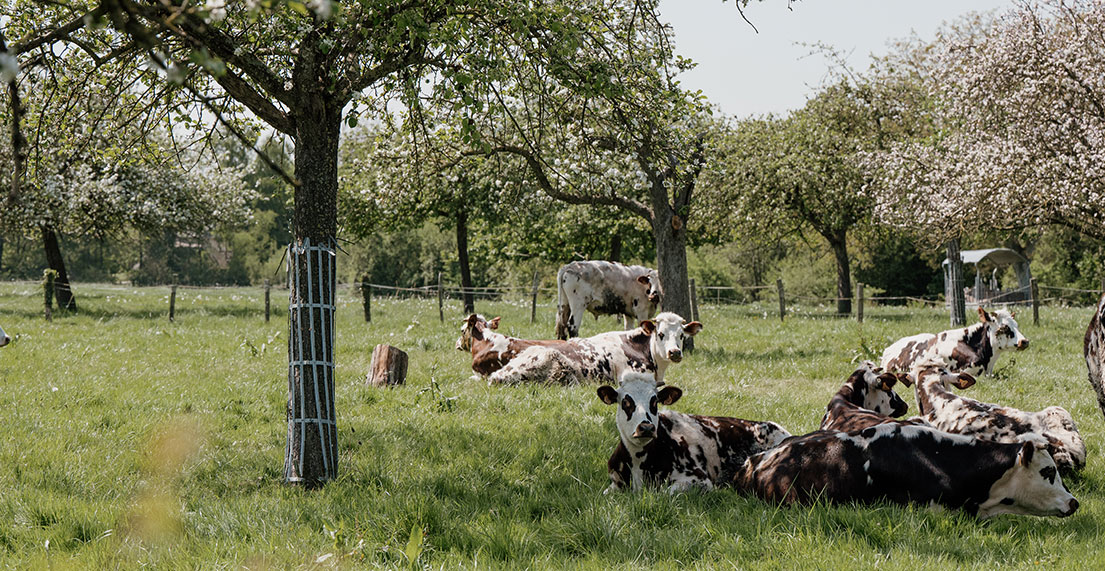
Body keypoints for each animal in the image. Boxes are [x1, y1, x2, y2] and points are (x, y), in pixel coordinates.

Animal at [597, 372, 791, 493]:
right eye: (626, 402)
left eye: (654, 401)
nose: (646, 427)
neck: (639, 463)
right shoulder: (615, 483)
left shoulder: (699, 480)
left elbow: (665, 493)